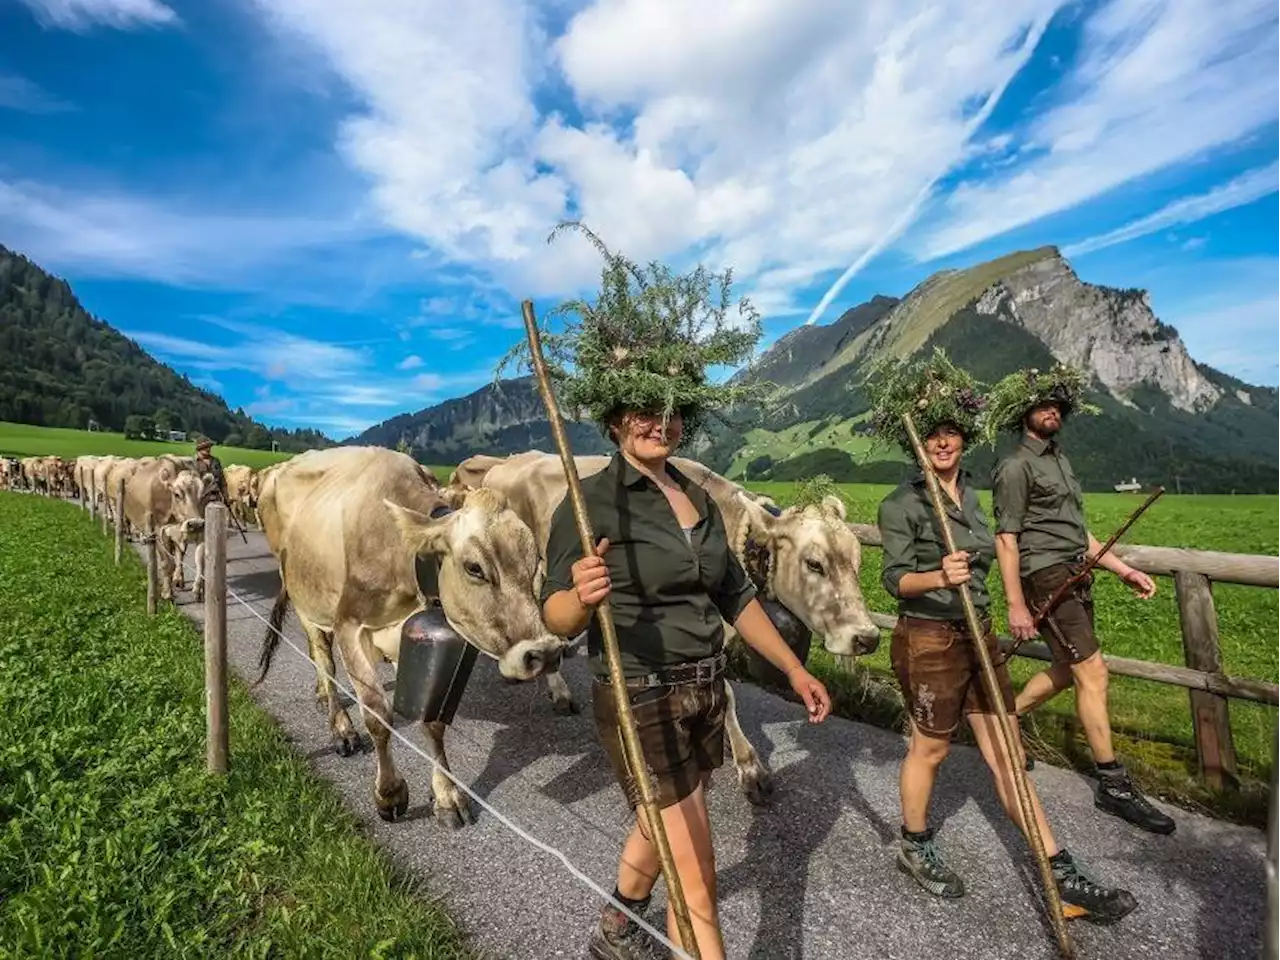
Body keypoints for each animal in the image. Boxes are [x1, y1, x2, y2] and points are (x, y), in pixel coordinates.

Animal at [254, 445, 565, 829]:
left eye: (535, 563)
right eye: (475, 567)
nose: (545, 653)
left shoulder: (421, 642)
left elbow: (432, 722)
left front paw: (446, 795)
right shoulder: (349, 624)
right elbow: (377, 717)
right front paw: (389, 794)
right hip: (304, 599)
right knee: (323, 659)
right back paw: (340, 727)